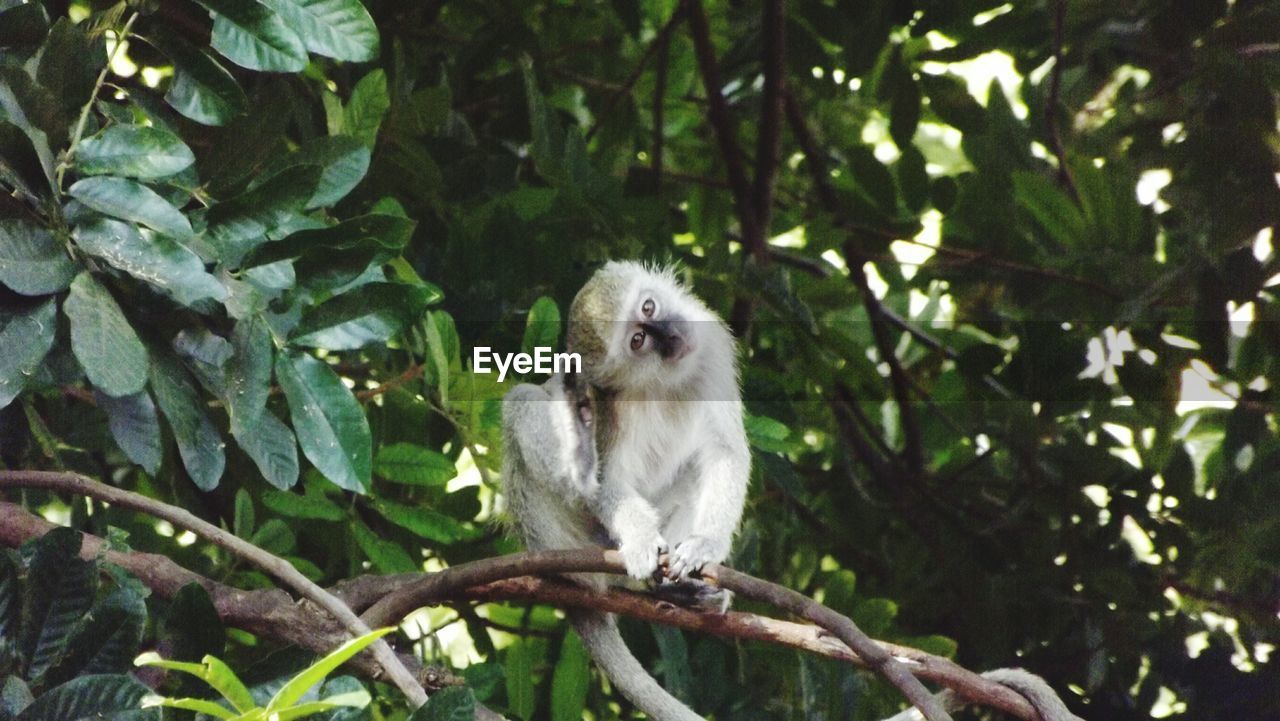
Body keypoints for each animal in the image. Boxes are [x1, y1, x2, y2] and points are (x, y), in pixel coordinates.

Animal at [501, 262, 747, 721]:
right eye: (638, 340)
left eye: (648, 307)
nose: (670, 335)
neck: (662, 379)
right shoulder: (609, 405)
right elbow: (606, 480)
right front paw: (640, 541)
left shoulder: (710, 350)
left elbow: (724, 452)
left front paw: (703, 544)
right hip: (561, 537)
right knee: (522, 399)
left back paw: (675, 590)